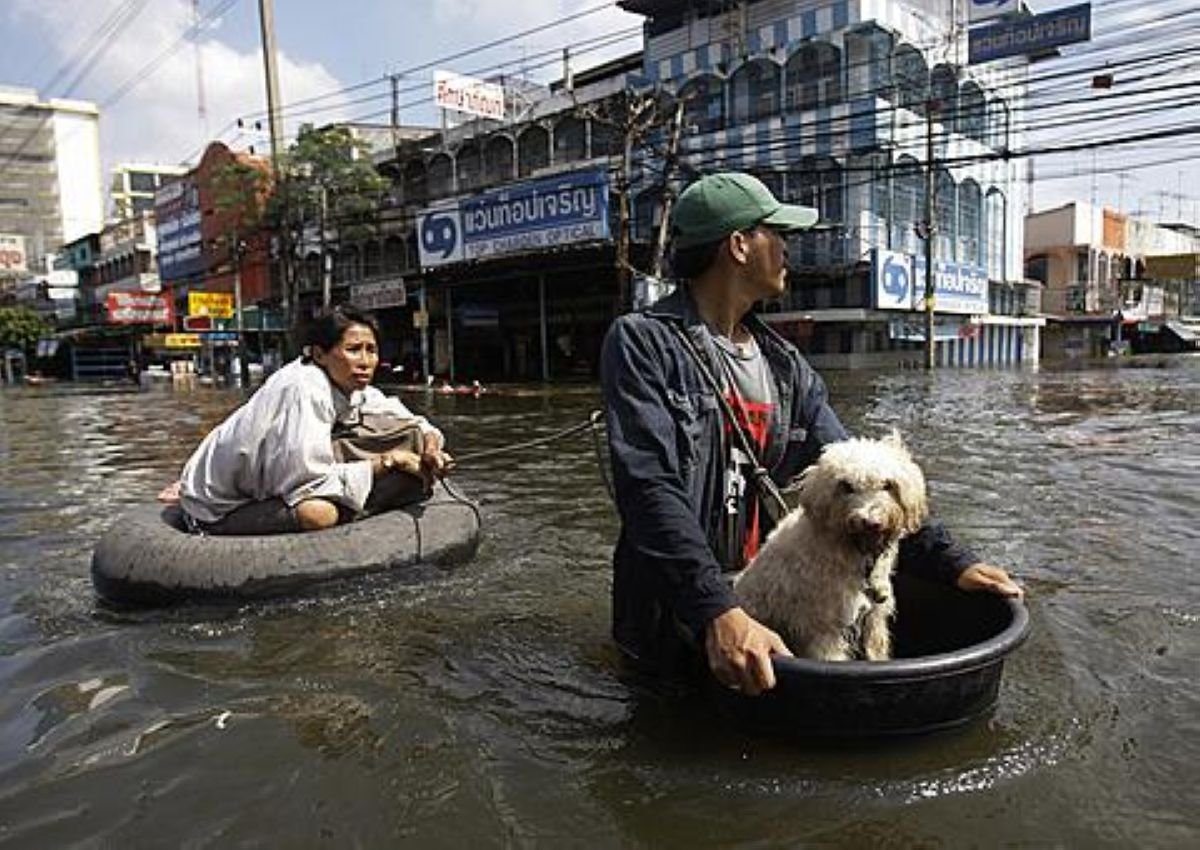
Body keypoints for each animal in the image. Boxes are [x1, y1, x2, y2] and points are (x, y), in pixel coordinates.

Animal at [729, 432, 926, 662]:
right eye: (846, 486)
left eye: (888, 485)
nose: (870, 522)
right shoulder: (823, 629)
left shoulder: (874, 616)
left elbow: (877, 652)